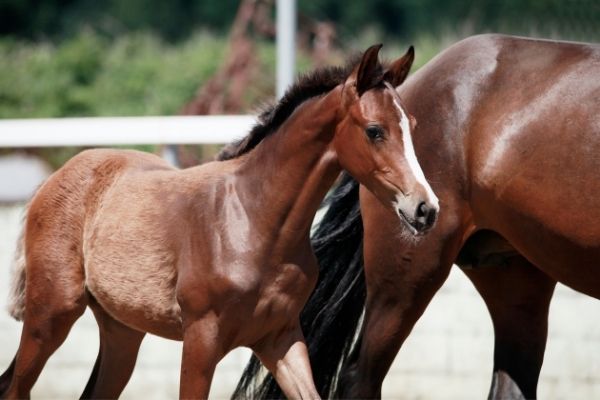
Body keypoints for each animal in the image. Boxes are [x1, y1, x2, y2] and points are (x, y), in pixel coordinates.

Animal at [2, 45, 438, 398]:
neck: (254, 221)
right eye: (374, 131)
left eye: (414, 127)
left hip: (122, 331)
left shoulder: (280, 337)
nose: (426, 208)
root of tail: (53, 180)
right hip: (50, 315)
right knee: (16, 388)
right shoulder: (200, 339)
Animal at [233, 34, 600, 400]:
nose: (426, 208)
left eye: (407, 128)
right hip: (406, 277)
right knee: (360, 376)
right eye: (374, 131)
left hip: (514, 277)